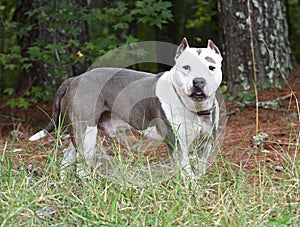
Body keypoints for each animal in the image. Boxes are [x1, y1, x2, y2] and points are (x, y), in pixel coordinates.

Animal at [29, 38, 223, 178]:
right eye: (186, 67)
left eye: (211, 67)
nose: (199, 81)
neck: (196, 108)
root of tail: (75, 78)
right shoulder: (177, 143)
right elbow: (186, 171)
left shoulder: (206, 144)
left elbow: (200, 169)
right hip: (87, 133)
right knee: (81, 167)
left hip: (80, 130)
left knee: (68, 157)